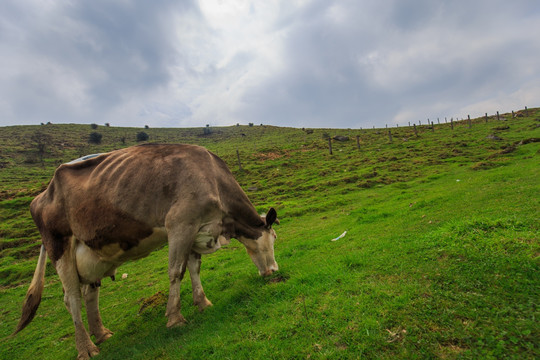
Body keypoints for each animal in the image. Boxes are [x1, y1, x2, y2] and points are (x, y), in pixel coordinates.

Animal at [14, 144, 280, 360]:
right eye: (274, 238)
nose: (274, 270)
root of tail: (42, 194)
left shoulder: (197, 229)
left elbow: (195, 268)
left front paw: (202, 302)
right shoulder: (180, 224)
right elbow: (176, 272)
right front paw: (174, 318)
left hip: (91, 255)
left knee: (89, 294)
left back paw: (101, 334)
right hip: (59, 245)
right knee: (71, 299)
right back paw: (86, 349)